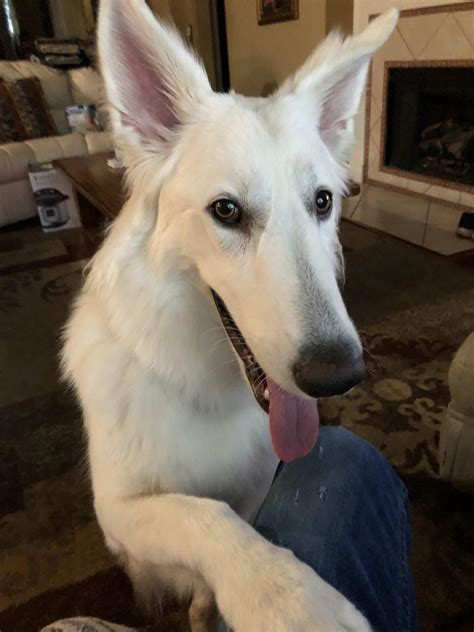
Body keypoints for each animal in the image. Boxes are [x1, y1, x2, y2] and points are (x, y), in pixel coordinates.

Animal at [63, 2, 396, 628]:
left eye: (323, 202)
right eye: (226, 211)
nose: (338, 376)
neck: (202, 383)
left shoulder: (257, 487)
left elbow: (227, 527)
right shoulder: (118, 511)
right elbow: (202, 514)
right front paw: (287, 596)